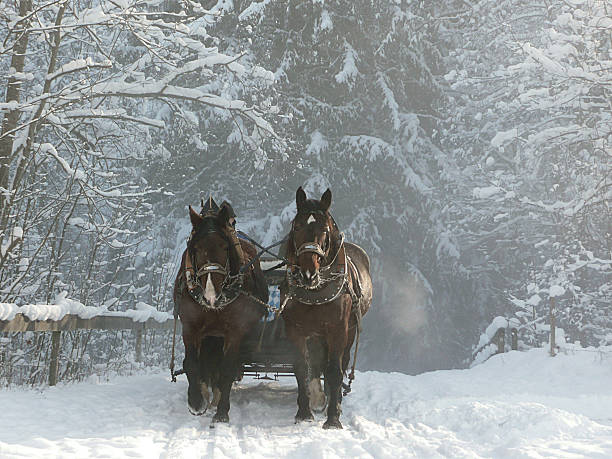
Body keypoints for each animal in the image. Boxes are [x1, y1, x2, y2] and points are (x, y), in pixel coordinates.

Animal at [172, 199, 268, 426]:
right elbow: (191, 363)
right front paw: (196, 401)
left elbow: (227, 369)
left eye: (225, 247)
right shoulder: (191, 327)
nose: (210, 295)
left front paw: (222, 411)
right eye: (196, 248)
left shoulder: (234, 331)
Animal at [280, 188, 372, 432]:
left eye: (325, 229)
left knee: (341, 363)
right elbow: (302, 368)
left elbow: (333, 370)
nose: (307, 274)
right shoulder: (296, 330)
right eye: (296, 226)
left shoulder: (338, 330)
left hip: (349, 331)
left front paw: (333, 418)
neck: (316, 289)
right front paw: (304, 412)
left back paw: (334, 399)